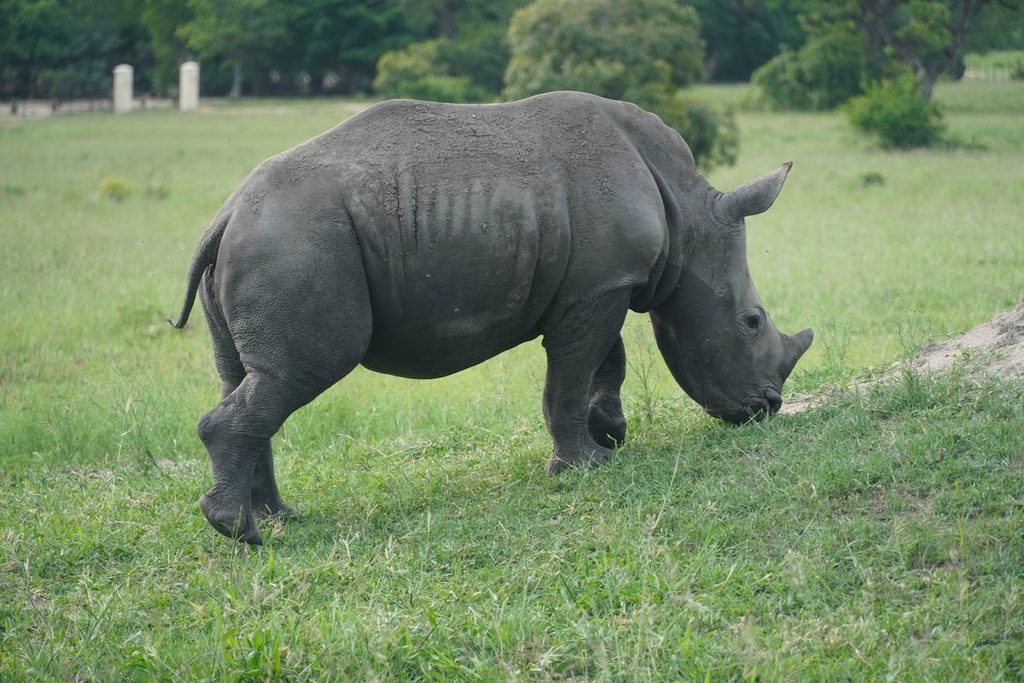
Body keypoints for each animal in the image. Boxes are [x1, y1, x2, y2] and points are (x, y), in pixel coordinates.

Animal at [171, 91, 812, 545]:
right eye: (752, 322)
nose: (766, 408)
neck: (687, 216)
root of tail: (227, 213)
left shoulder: (599, 283)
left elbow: (607, 361)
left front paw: (609, 434)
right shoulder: (599, 286)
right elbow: (572, 374)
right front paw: (584, 467)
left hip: (263, 243)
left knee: (252, 377)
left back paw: (279, 518)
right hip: (295, 243)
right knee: (301, 370)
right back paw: (242, 533)